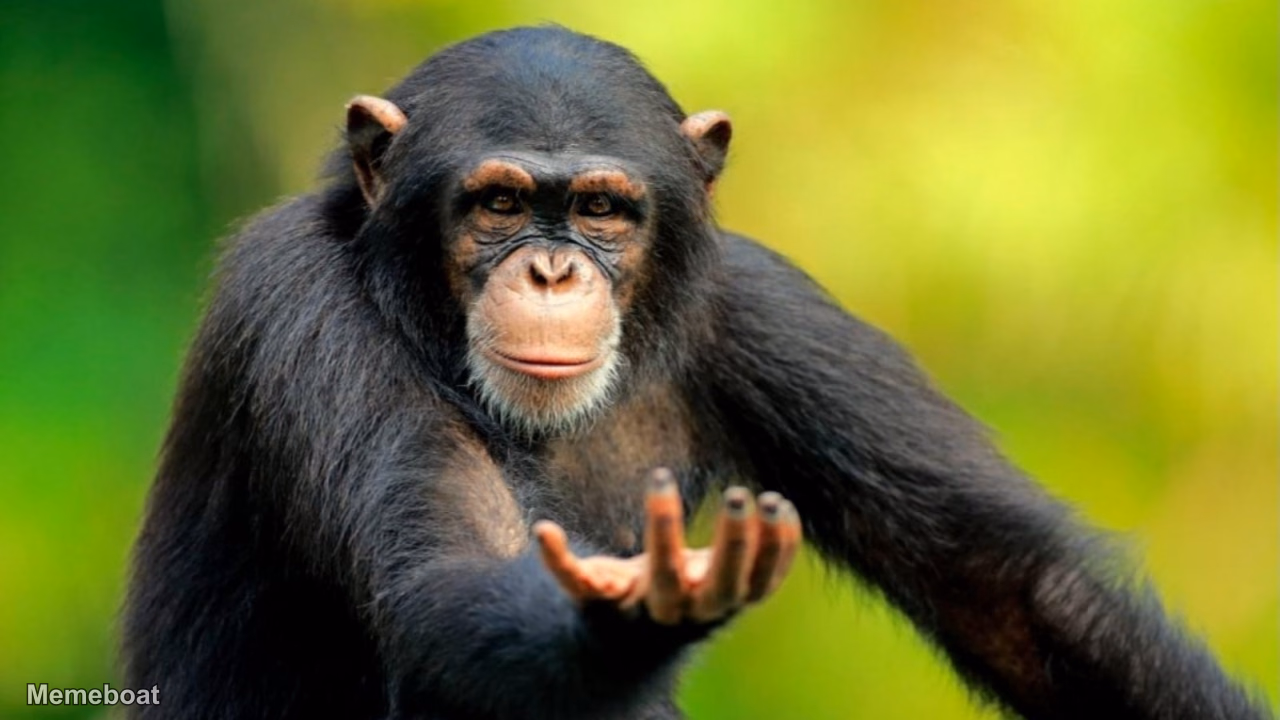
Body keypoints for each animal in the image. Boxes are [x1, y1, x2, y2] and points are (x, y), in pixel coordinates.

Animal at [122, 25, 1271, 720]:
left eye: (601, 209)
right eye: (498, 203)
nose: (550, 271)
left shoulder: (763, 311)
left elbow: (1015, 592)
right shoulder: (299, 307)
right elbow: (440, 589)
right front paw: (635, 612)